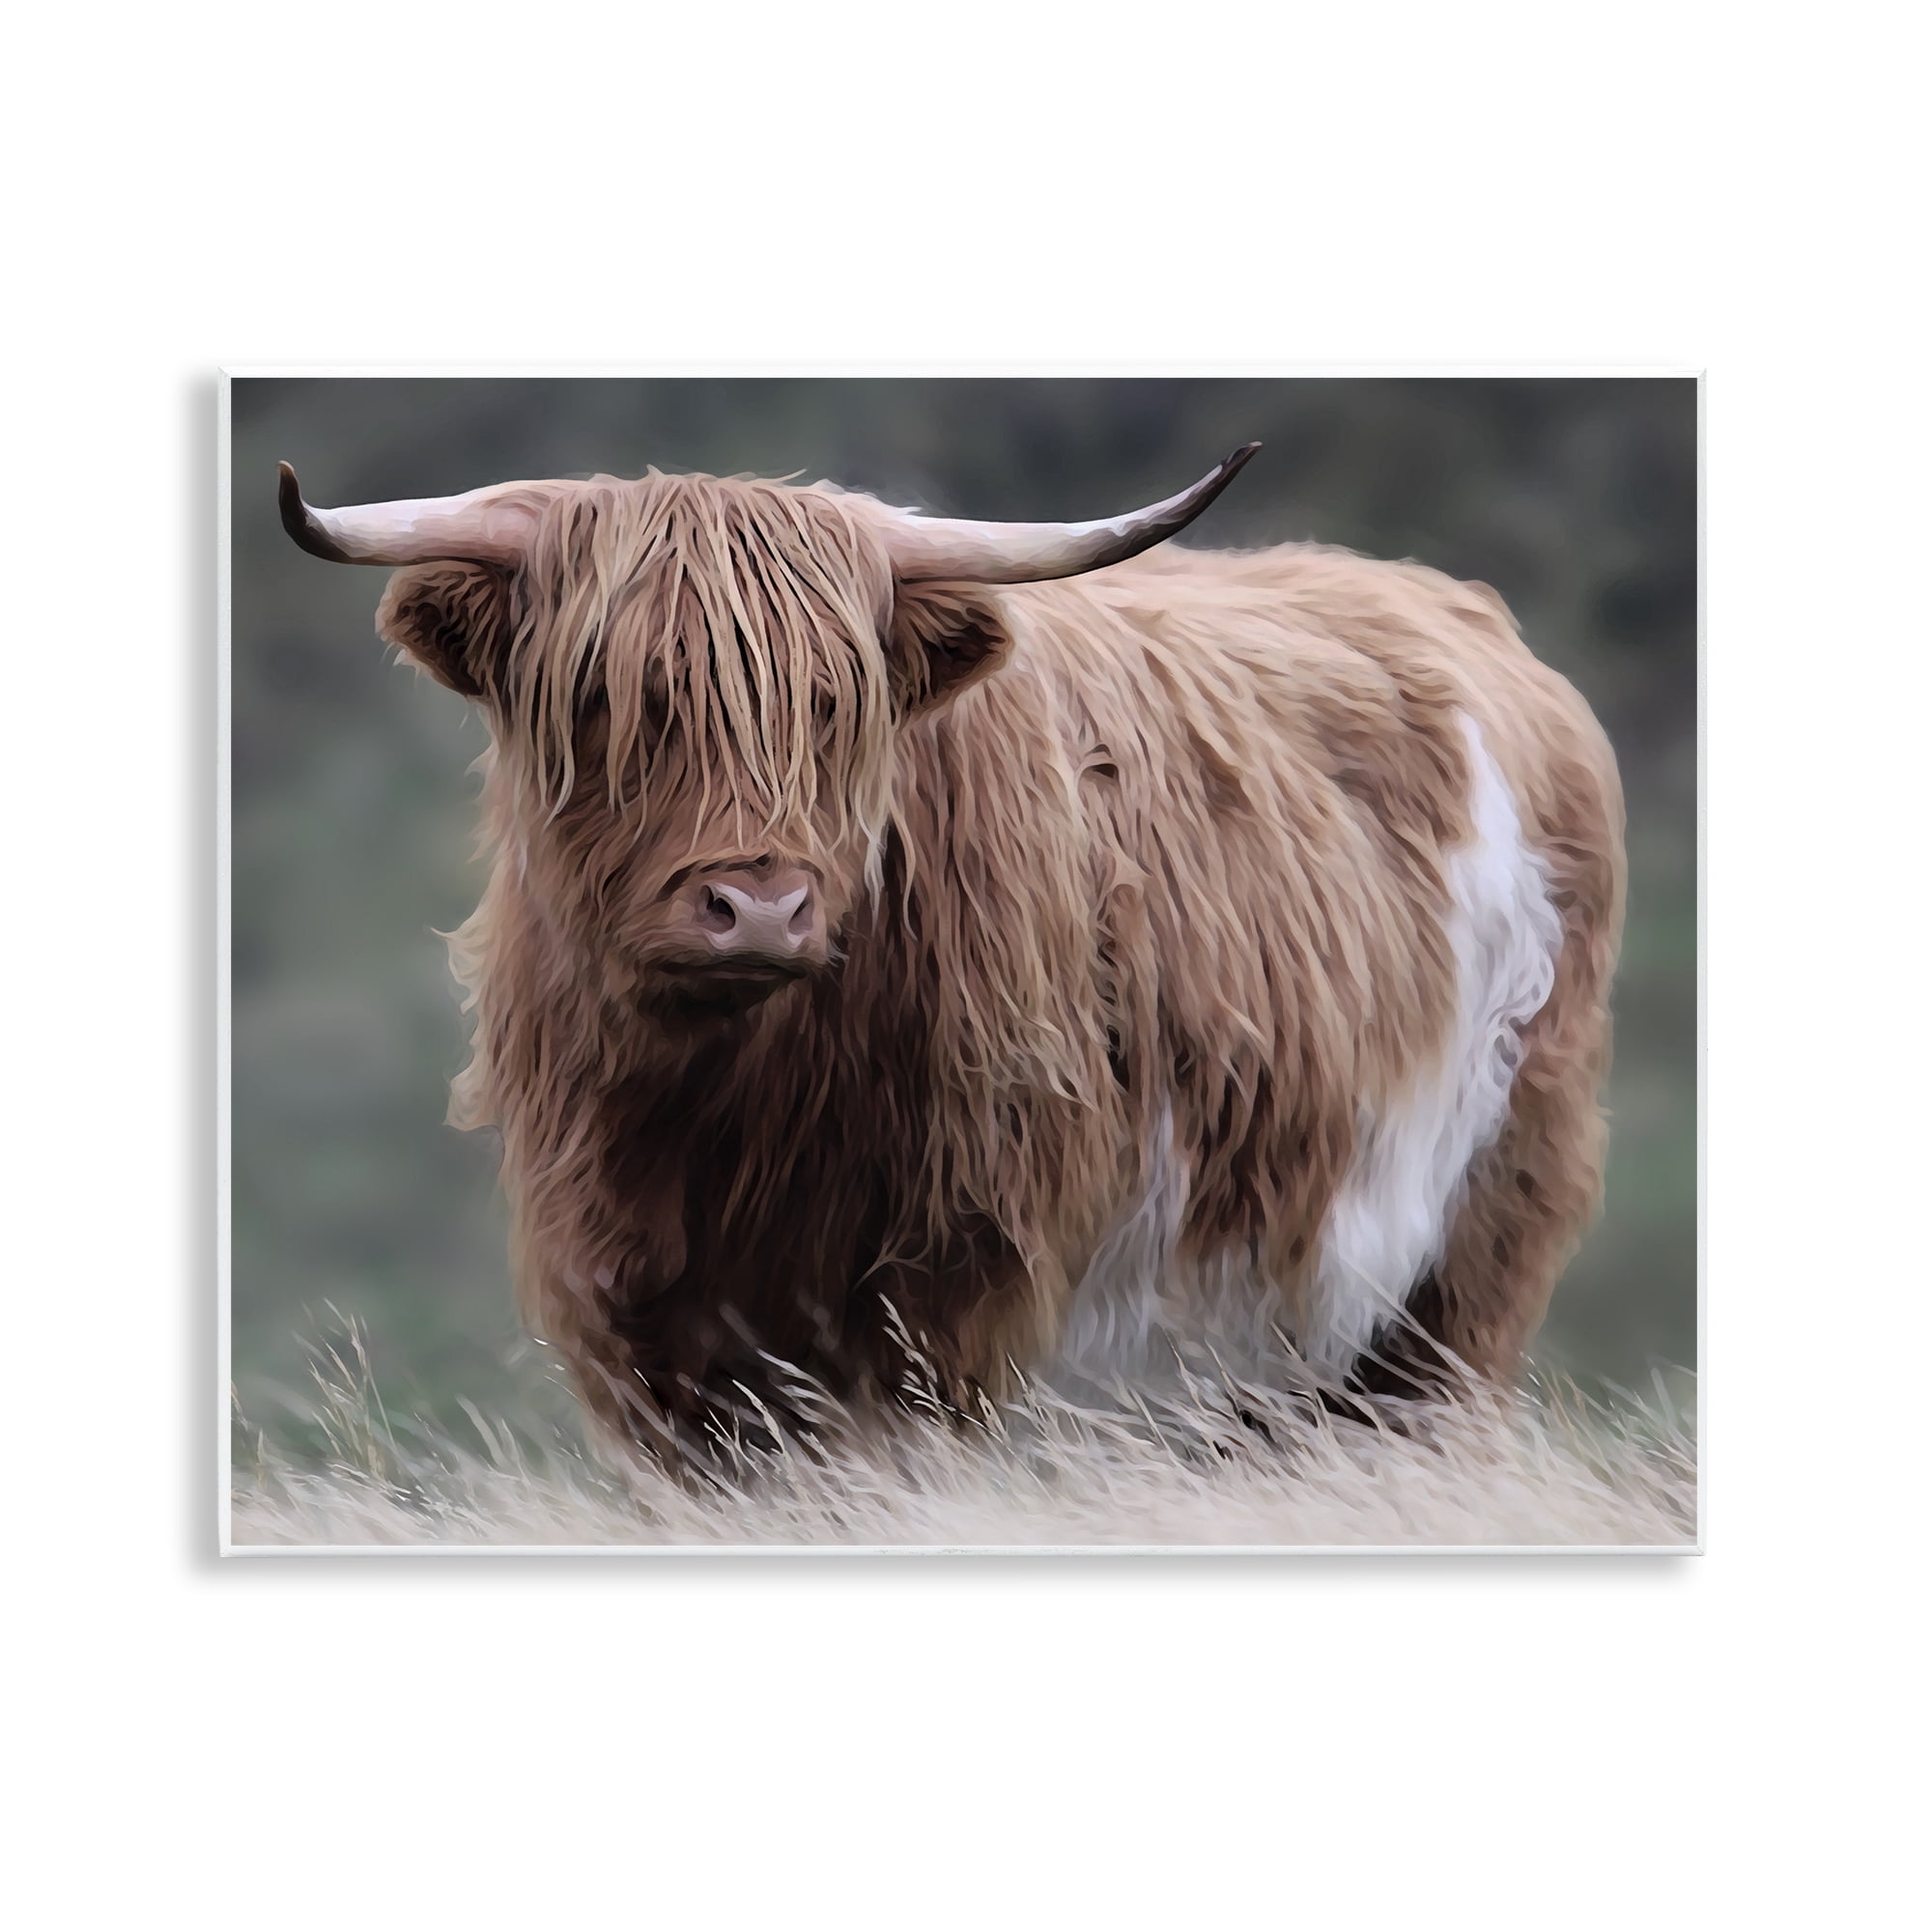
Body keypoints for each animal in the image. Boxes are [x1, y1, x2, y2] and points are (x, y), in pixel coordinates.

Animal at [276, 447, 1624, 1460]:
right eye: (613, 696)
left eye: (834, 703)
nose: (757, 906)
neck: (725, 1110)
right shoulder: (639, 1320)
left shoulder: (949, 1299)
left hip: (1461, 1258)